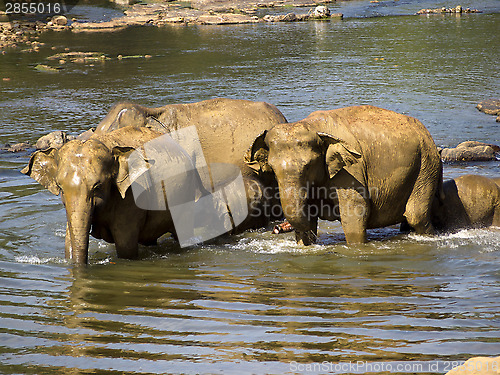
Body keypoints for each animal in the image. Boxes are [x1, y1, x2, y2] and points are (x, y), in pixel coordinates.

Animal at [246, 106, 442, 247]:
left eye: (308, 166)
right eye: (272, 168)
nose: (278, 228)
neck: (314, 127)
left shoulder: (351, 170)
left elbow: (356, 214)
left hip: (426, 164)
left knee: (416, 215)